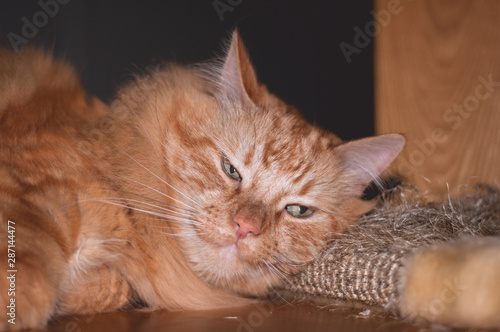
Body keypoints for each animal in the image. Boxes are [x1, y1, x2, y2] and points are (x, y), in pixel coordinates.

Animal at [0, 31, 406, 330]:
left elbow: (107, 288)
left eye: (298, 211)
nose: (244, 228)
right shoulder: (29, 204)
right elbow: (29, 280)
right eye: (231, 170)